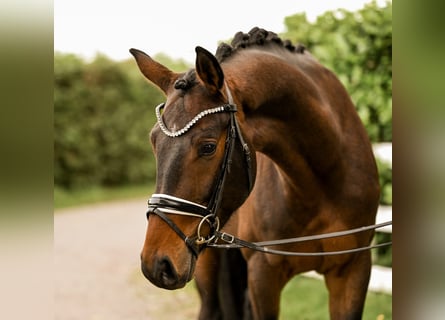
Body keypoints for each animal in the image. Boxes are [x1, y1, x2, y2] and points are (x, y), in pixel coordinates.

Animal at [130, 28, 380, 320]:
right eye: (153, 141)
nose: (156, 263)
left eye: (208, 146)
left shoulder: (354, 269)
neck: (323, 184)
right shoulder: (263, 273)